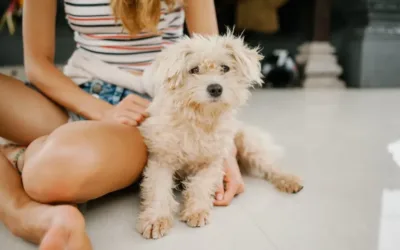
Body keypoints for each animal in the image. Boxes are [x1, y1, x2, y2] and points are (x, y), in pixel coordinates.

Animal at [136, 32, 302, 239]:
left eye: (225, 68)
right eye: (194, 69)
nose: (215, 88)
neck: (199, 119)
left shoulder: (214, 162)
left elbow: (200, 184)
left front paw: (197, 211)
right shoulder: (161, 160)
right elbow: (159, 190)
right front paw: (156, 219)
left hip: (248, 144)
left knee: (271, 167)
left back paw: (289, 180)